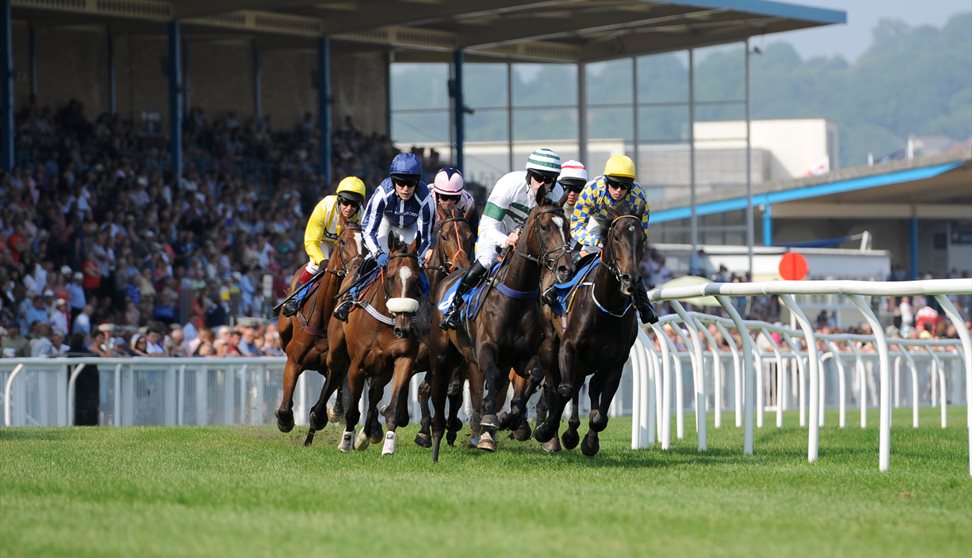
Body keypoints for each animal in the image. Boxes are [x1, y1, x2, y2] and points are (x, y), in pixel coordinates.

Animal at [276, 222, 362, 434]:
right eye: (343, 241)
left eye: (364, 242)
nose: (358, 267)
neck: (322, 320)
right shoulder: (294, 361)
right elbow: (284, 410)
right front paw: (285, 419)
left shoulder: (336, 365)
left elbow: (322, 408)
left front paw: (330, 413)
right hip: (283, 333)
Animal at [304, 232, 426, 456]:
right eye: (391, 276)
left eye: (415, 279)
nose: (403, 328)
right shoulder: (357, 365)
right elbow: (352, 409)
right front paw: (345, 442)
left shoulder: (403, 359)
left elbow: (392, 406)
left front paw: (388, 446)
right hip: (337, 353)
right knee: (333, 377)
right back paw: (318, 419)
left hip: (383, 369)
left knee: (375, 393)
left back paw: (366, 435)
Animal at [428, 195, 576, 462]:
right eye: (544, 227)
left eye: (567, 226)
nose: (565, 268)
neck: (515, 296)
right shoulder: (486, 349)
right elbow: (493, 377)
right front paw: (489, 419)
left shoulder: (523, 356)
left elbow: (533, 377)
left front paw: (510, 419)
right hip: (442, 354)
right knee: (441, 389)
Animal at [532, 208, 644, 458]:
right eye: (616, 237)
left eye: (642, 238)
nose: (630, 278)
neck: (607, 306)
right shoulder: (568, 346)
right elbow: (564, 390)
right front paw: (546, 430)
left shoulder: (615, 362)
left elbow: (600, 415)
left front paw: (589, 441)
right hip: (550, 344)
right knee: (555, 385)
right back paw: (553, 433)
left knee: (586, 386)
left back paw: (572, 432)